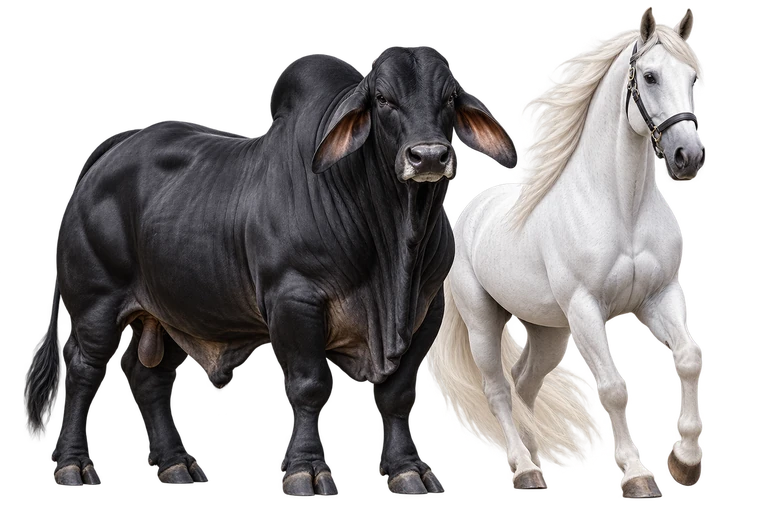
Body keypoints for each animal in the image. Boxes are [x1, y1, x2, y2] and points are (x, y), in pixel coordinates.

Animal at [426, 7, 706, 501]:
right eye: (650, 76)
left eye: (694, 77)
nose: (687, 157)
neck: (621, 207)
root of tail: (470, 211)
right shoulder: (585, 309)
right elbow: (612, 389)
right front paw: (636, 475)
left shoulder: (657, 296)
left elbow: (690, 359)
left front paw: (686, 461)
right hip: (483, 322)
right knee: (498, 390)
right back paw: (525, 469)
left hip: (549, 332)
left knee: (525, 383)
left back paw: (535, 456)